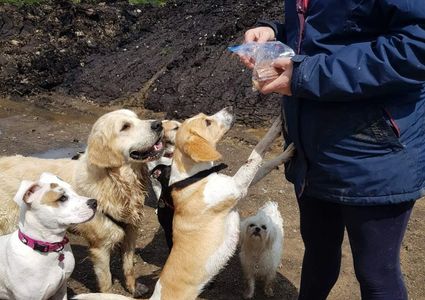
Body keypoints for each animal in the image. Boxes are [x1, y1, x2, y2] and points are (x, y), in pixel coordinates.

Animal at [0, 109, 164, 296]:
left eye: (136, 118)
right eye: (125, 126)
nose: (159, 124)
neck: (115, 181)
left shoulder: (130, 231)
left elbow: (129, 266)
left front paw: (133, 288)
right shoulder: (100, 247)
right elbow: (107, 282)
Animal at [76, 108, 294, 300]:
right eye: (207, 122)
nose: (230, 107)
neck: (192, 179)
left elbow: (264, 166)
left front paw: (286, 153)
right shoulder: (237, 186)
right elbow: (255, 156)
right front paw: (277, 126)